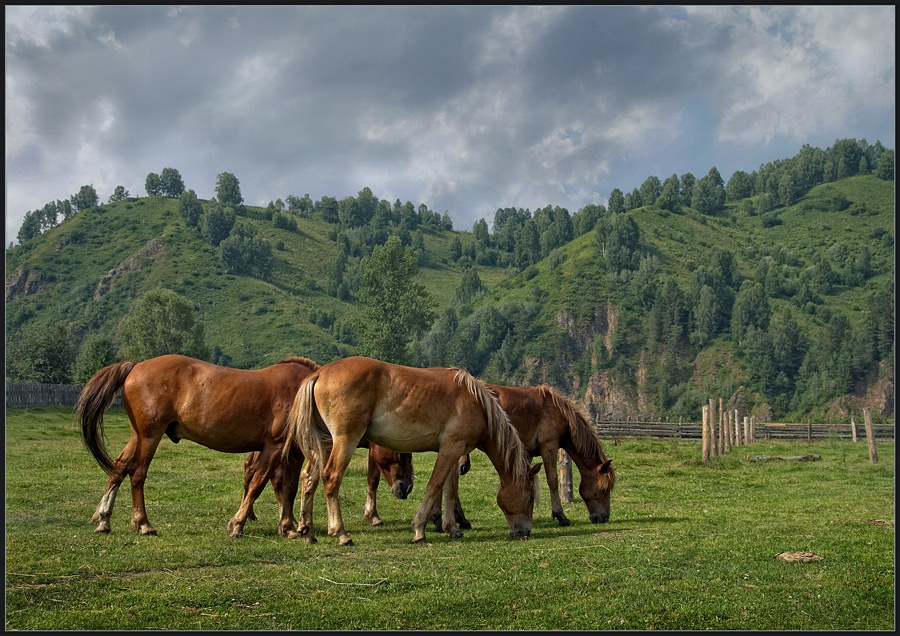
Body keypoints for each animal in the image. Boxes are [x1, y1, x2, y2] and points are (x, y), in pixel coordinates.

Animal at [76, 352, 324, 536]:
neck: (302, 389)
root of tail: (135, 366)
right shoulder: (274, 447)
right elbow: (258, 484)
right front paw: (238, 524)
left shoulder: (293, 452)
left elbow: (289, 488)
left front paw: (288, 527)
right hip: (149, 436)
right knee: (137, 473)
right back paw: (143, 524)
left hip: (137, 436)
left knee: (118, 468)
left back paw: (104, 519)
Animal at [282, 356, 540, 544]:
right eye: (530, 497)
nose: (524, 531)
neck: (476, 402)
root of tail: (319, 373)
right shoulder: (451, 448)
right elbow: (435, 486)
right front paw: (419, 530)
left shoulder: (454, 449)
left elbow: (450, 490)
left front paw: (452, 528)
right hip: (345, 441)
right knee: (331, 478)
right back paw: (341, 534)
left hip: (324, 443)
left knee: (309, 478)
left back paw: (308, 531)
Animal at [432, 386, 616, 528]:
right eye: (603, 490)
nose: (604, 518)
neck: (557, 411)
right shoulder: (549, 446)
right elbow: (552, 480)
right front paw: (560, 516)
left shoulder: (526, 453)